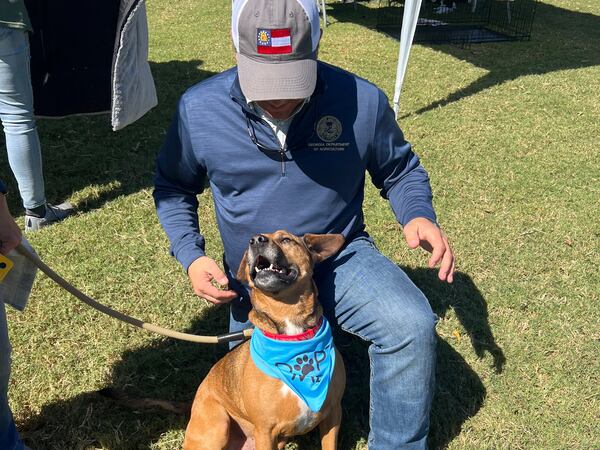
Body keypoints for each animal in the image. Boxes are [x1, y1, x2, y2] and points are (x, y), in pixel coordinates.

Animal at [183, 232, 344, 450]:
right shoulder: (265, 430)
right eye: (249, 243)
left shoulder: (333, 414)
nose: (256, 240)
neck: (291, 335)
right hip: (217, 426)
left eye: (286, 239)